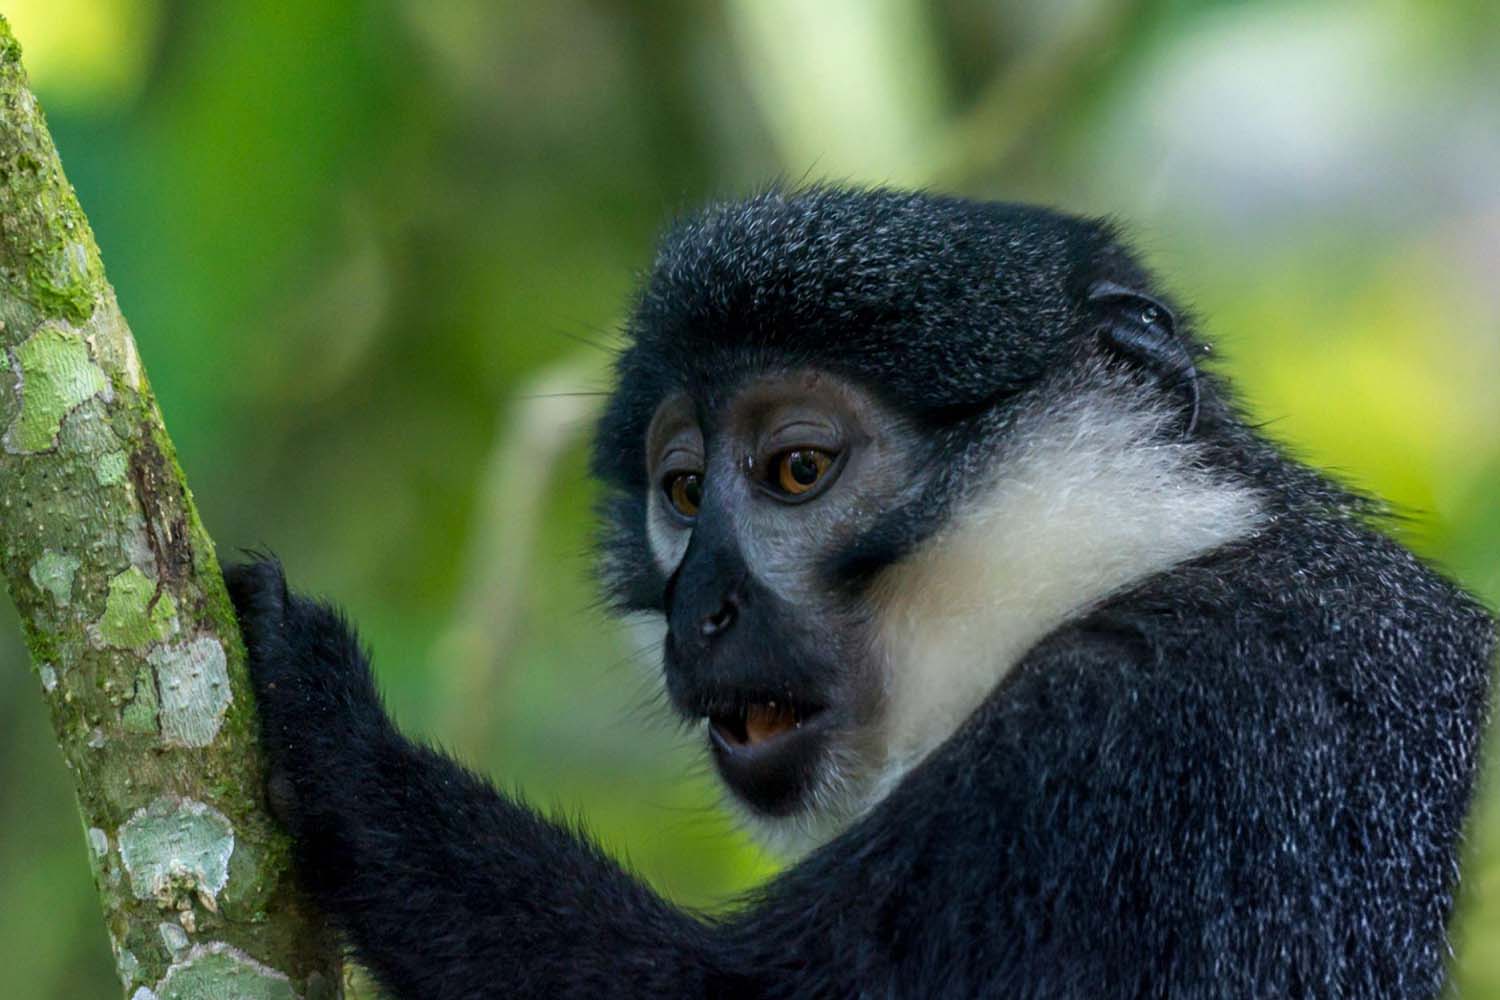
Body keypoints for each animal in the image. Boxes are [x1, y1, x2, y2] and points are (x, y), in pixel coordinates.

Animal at [227, 185, 1496, 999]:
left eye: (798, 469)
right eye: (680, 490)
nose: (700, 613)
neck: (1145, 549)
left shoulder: (1142, 735)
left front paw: (331, 719)